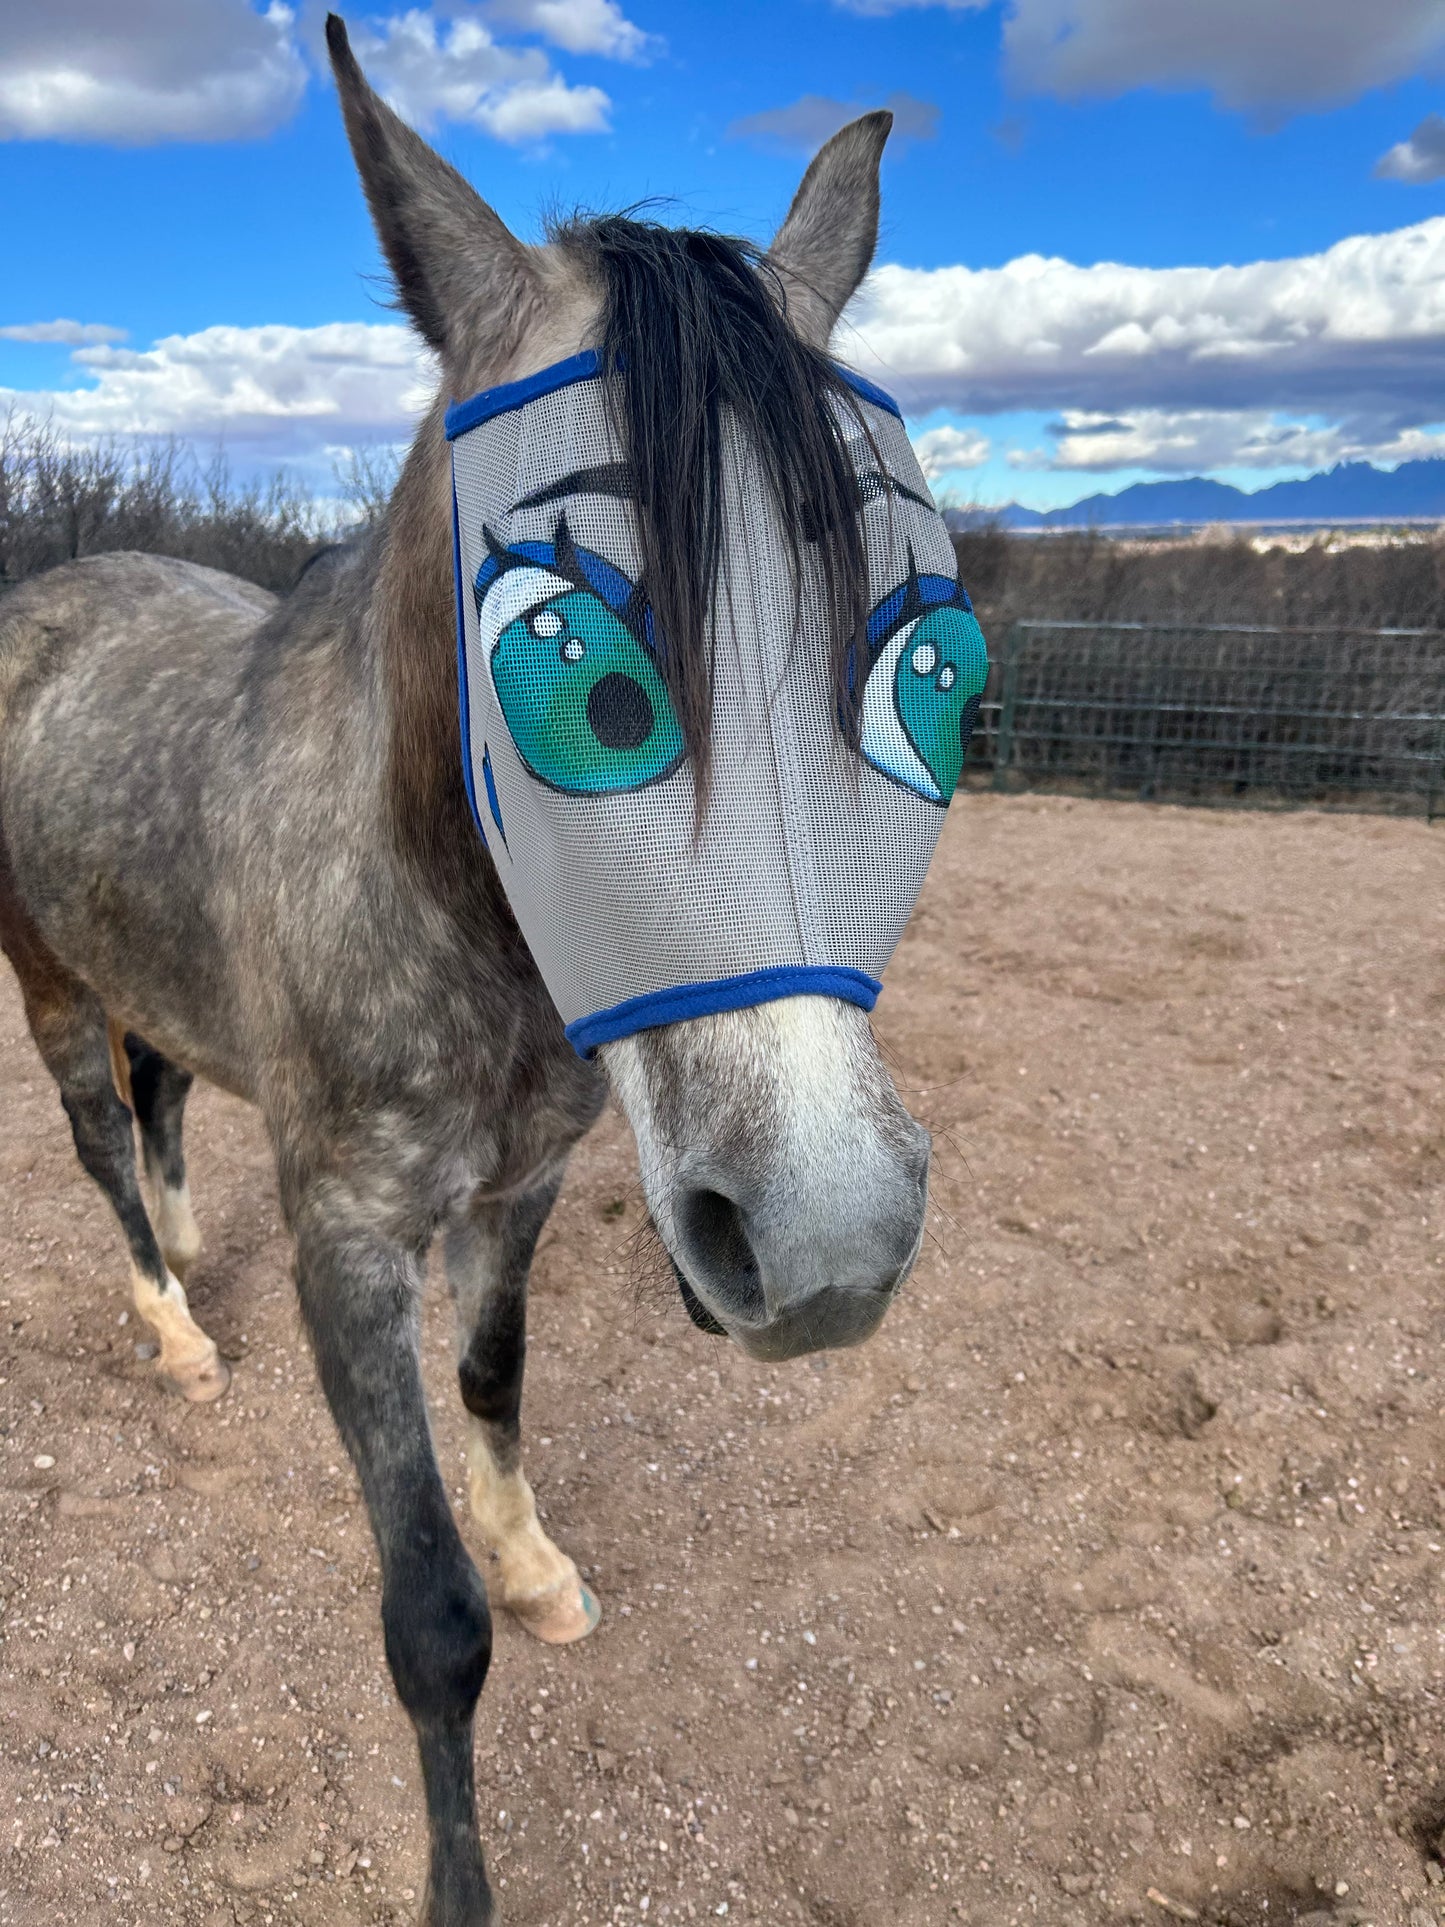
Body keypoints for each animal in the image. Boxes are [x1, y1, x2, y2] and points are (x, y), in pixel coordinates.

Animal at [0, 11, 974, 1911]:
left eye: (922, 650)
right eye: (576, 667)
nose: (829, 1235)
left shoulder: (518, 1190)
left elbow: (498, 1383)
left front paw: (538, 1566)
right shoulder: (351, 1240)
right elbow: (429, 1623)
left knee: (159, 1108)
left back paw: (187, 1251)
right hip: (48, 978)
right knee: (94, 1139)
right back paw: (172, 1331)